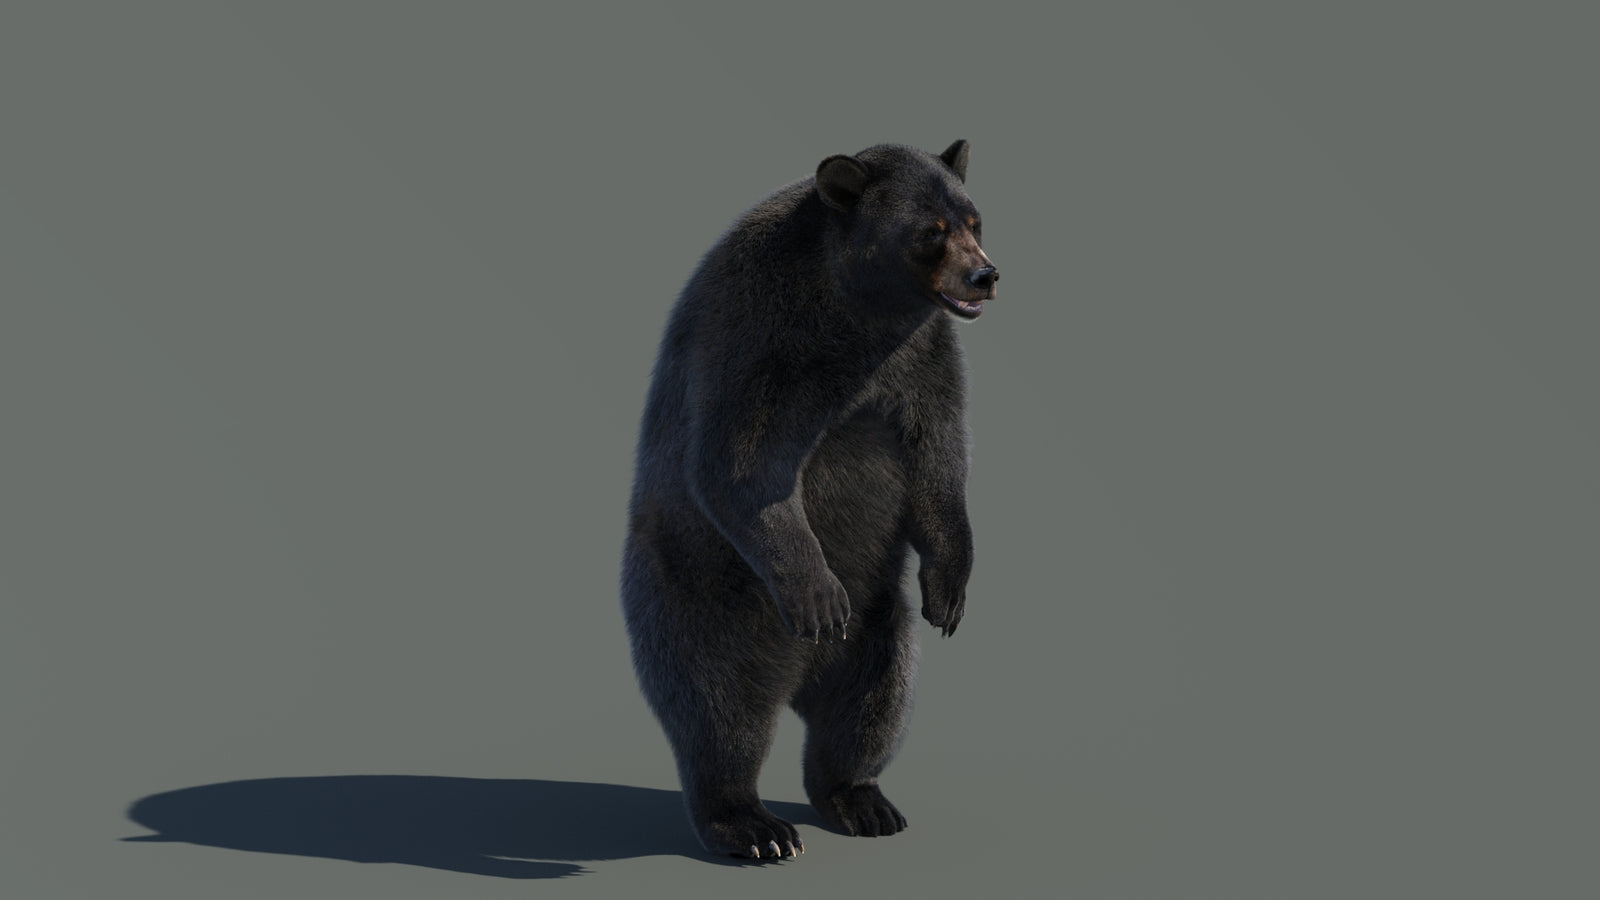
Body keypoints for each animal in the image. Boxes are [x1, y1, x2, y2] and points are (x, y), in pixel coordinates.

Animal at [621, 140, 998, 860]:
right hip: (699, 597)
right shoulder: (764, 334)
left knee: (873, 701)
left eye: (975, 220)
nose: (985, 275)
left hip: (880, 621)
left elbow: (938, 454)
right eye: (930, 231)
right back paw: (752, 825)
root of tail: (797, 677)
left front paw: (950, 589)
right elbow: (740, 464)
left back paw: (862, 799)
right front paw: (819, 595)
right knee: (719, 710)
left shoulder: (921, 355)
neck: (857, 311)